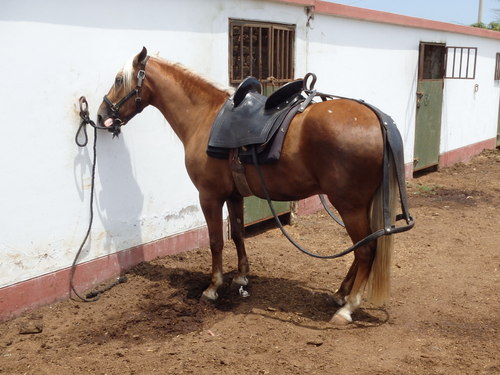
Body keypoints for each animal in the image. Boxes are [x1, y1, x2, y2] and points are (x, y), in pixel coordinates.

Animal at [95, 45, 402, 324]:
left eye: (119, 80)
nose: (100, 115)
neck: (205, 117)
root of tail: (378, 120)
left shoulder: (209, 196)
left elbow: (216, 241)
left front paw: (212, 287)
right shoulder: (234, 195)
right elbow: (239, 234)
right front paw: (242, 277)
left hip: (349, 205)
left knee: (365, 250)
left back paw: (347, 307)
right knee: (364, 246)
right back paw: (340, 294)